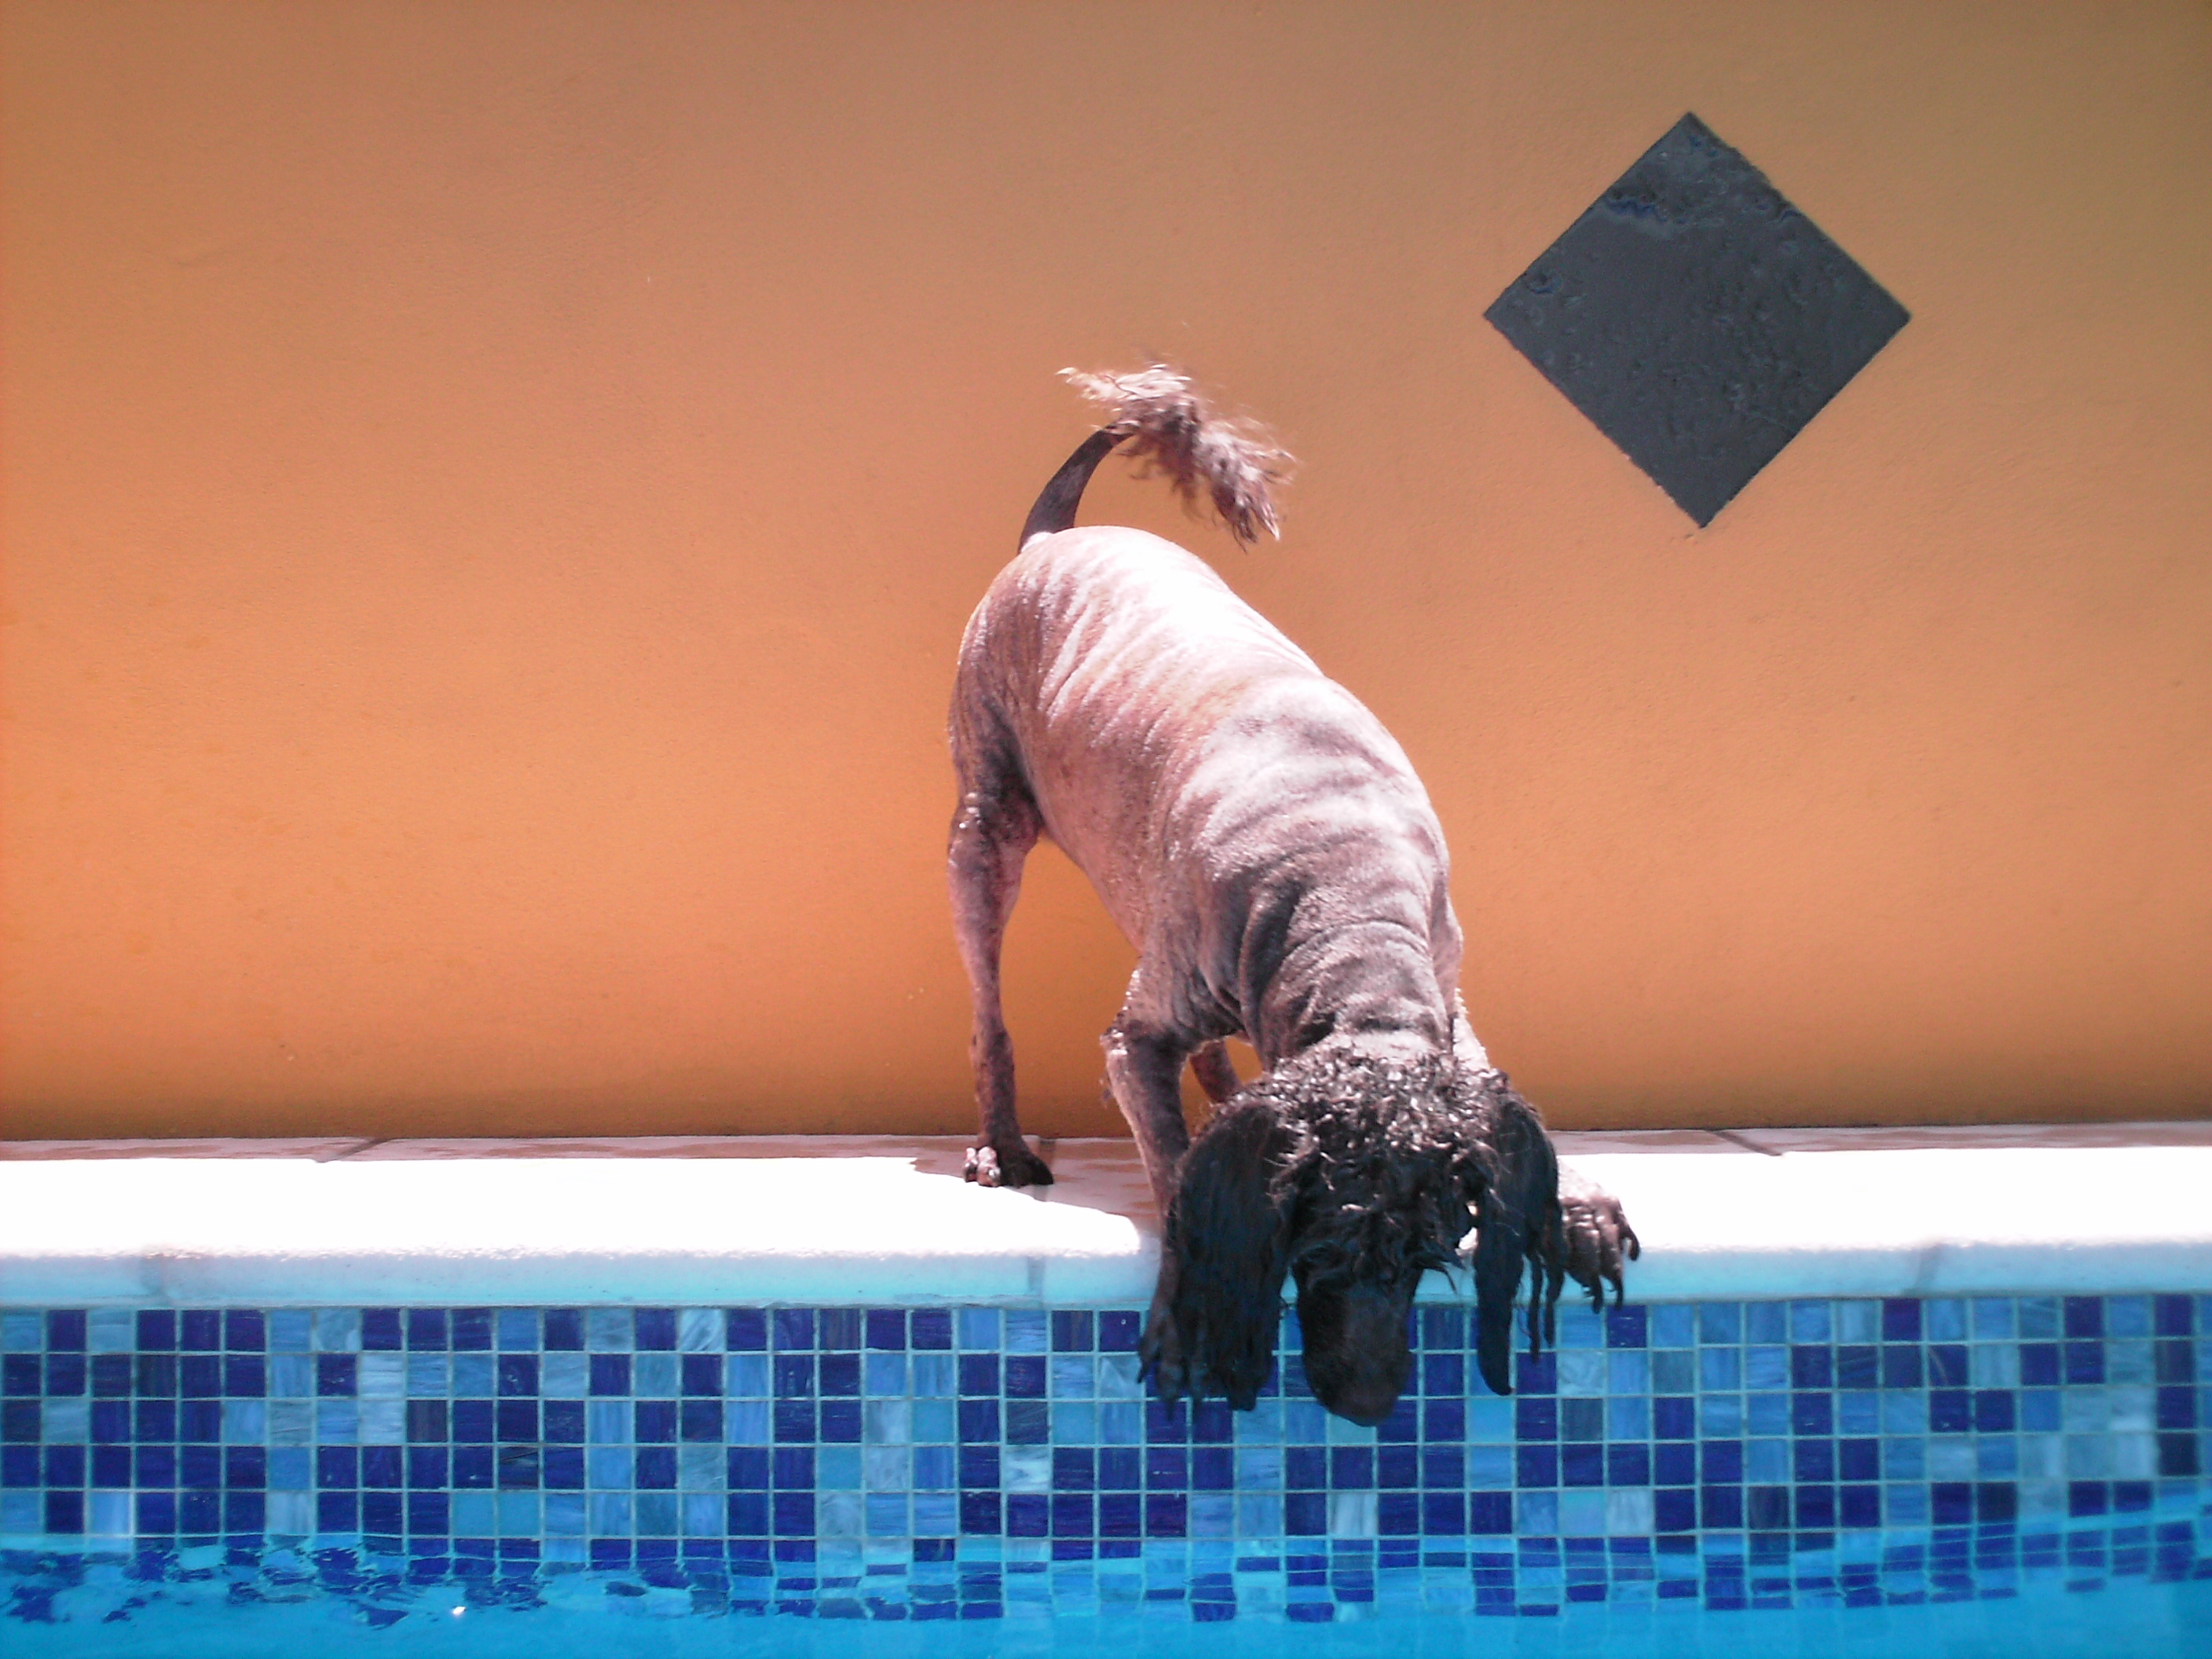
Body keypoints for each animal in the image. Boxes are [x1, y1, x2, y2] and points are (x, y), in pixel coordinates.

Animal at [948, 368, 1637, 1424]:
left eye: (1430, 1253)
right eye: (1316, 1249)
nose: (1367, 1403)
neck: (1349, 917)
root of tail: (1049, 537)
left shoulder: (1444, 989)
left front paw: (1575, 1204)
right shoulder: (1137, 1039)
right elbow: (1178, 1169)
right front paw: (1186, 1316)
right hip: (987, 831)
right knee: (991, 1005)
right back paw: (1000, 1145)